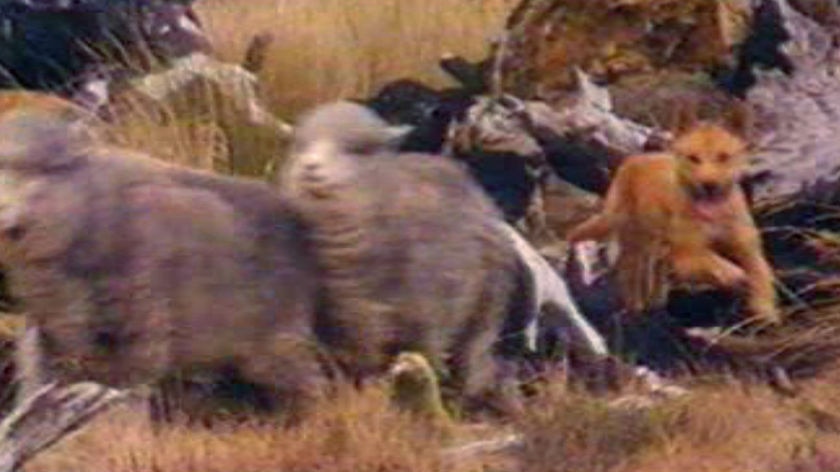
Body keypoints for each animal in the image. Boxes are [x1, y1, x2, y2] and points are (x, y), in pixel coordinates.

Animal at [568, 104, 776, 324]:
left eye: (724, 157)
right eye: (693, 158)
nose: (708, 185)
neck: (715, 215)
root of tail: (634, 159)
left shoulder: (749, 250)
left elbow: (761, 275)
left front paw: (765, 309)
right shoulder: (687, 256)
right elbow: (716, 264)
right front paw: (735, 275)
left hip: (659, 246)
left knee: (657, 272)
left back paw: (656, 303)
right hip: (637, 244)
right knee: (630, 277)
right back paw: (637, 310)